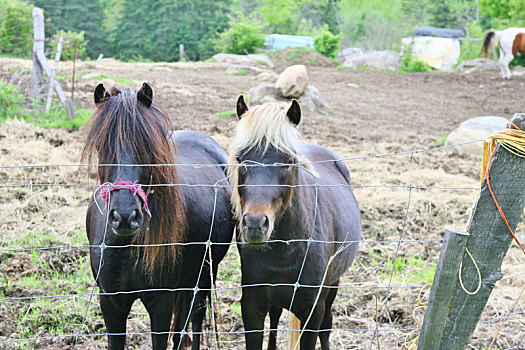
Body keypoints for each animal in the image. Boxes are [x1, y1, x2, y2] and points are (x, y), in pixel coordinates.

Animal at [82, 83, 233, 348]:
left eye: (145, 146)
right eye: (102, 145)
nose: (125, 216)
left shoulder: (161, 301)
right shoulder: (110, 302)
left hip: (202, 278)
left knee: (194, 320)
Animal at [229, 96, 360, 350]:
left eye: (288, 161)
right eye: (240, 159)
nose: (255, 224)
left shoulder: (312, 311)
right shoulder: (252, 307)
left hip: (333, 286)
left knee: (326, 328)